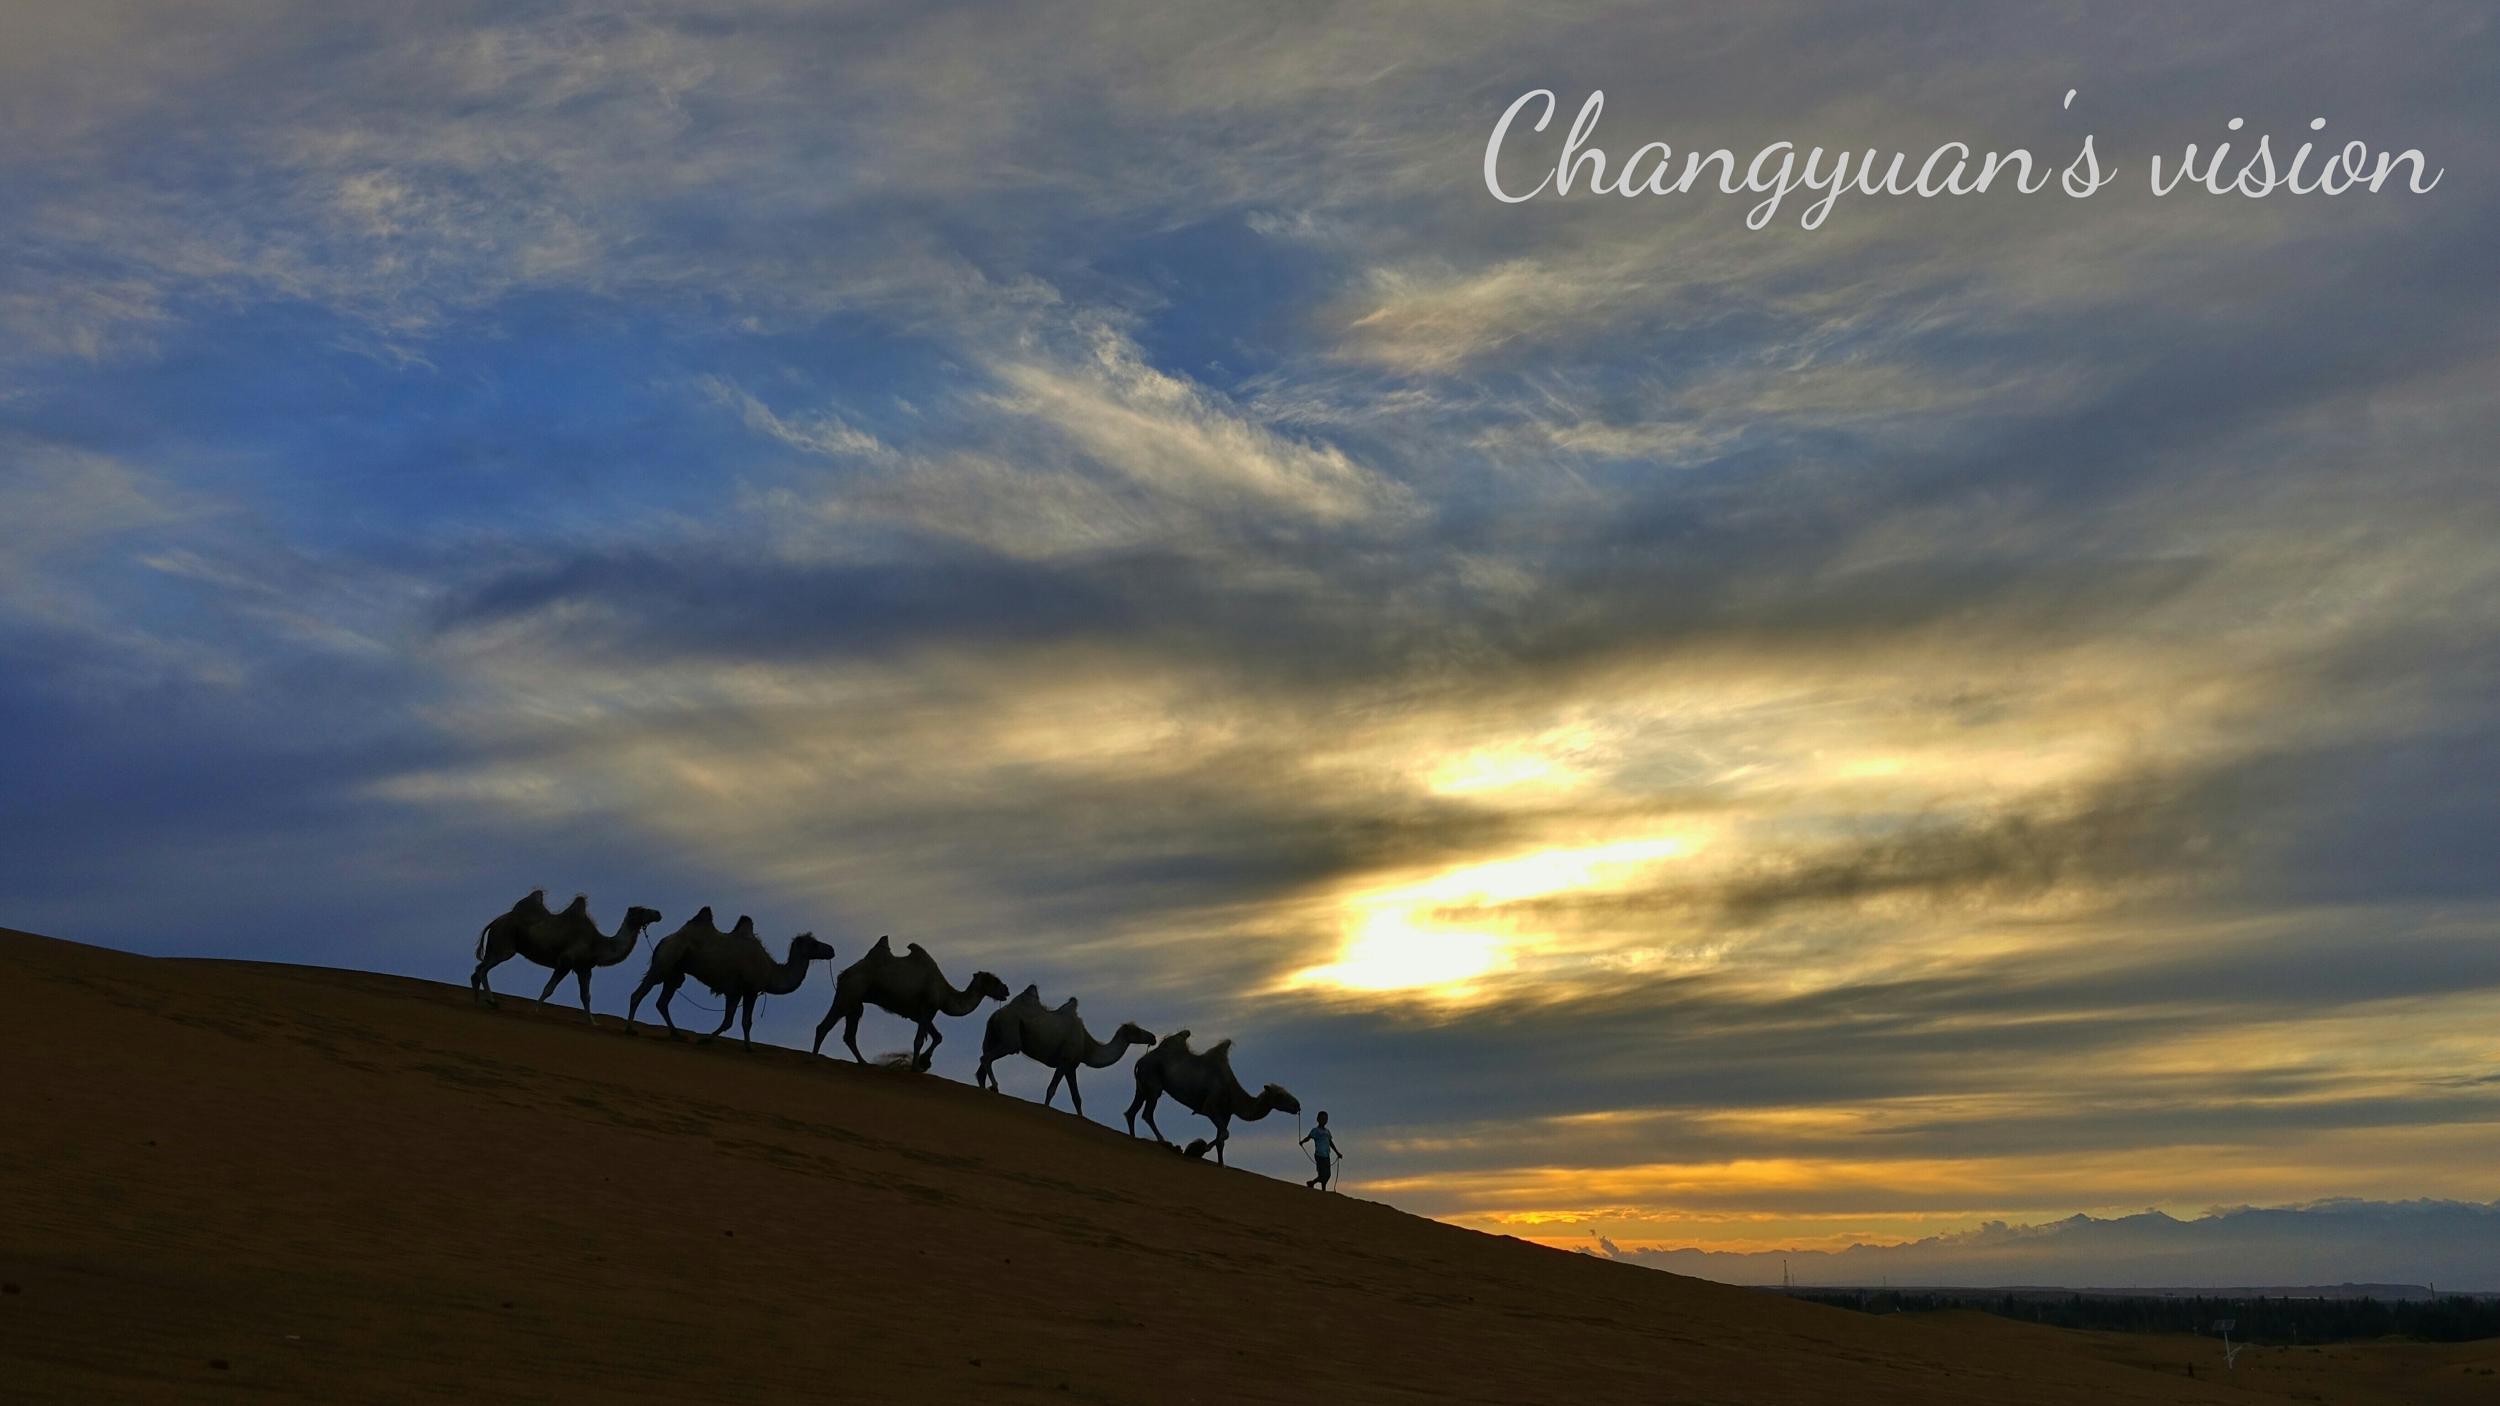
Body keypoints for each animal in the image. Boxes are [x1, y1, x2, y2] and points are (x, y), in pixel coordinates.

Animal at [469, 890, 661, 1027]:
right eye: (642, 910)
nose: (658, 913)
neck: (598, 944)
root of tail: (494, 922)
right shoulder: (566, 962)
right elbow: (549, 988)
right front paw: (534, 1011)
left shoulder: (584, 968)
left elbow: (586, 995)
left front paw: (593, 1022)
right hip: (504, 946)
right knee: (482, 969)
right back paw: (490, 1001)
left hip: (496, 946)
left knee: (478, 970)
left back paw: (479, 1001)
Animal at [625, 911, 836, 1050]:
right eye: (814, 944)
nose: (832, 949)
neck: (770, 971)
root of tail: (664, 940)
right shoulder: (750, 990)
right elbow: (745, 1021)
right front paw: (748, 1047)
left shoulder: (734, 992)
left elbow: (728, 1021)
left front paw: (707, 1039)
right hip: (665, 961)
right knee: (639, 993)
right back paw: (630, 1029)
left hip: (675, 972)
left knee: (662, 1002)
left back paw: (676, 1034)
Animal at [810, 935, 1008, 1070]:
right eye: (994, 981)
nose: (1006, 990)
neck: (946, 995)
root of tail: (843, 973)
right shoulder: (929, 1006)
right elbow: (919, 1040)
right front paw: (916, 1067)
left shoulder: (920, 1014)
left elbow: (938, 1036)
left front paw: (925, 1062)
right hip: (849, 993)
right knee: (824, 1026)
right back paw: (814, 1056)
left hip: (856, 1003)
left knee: (849, 1035)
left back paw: (863, 1062)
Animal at [972, 985, 1156, 1117]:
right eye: (1136, 1031)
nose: (1153, 1037)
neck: (1087, 1045)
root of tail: (997, 1014)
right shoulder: (1064, 1061)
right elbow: (1051, 1089)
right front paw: (1046, 1108)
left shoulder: (1071, 1067)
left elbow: (1077, 1098)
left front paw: (1081, 1117)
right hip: (1010, 1035)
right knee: (987, 1057)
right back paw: (995, 1087)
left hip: (993, 1035)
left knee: (983, 1062)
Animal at [1124, 1030, 1299, 1166]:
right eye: (1280, 1095)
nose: (1297, 1105)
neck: (1232, 1093)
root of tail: (1141, 1060)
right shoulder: (1211, 1107)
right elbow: (1224, 1135)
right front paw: (1194, 1149)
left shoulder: (1226, 1114)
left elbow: (1222, 1139)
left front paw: (1220, 1164)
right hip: (1153, 1083)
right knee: (1147, 1113)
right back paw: (1165, 1142)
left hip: (1142, 1086)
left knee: (1131, 1112)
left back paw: (1133, 1137)